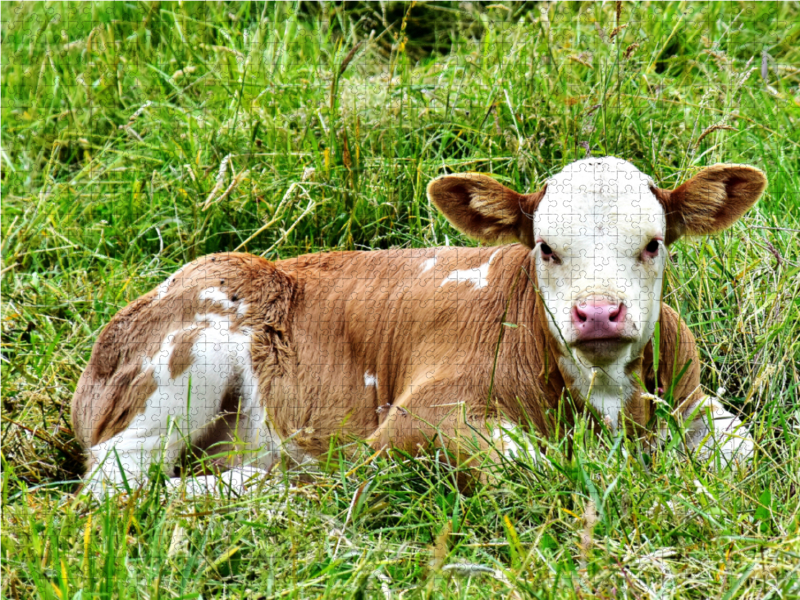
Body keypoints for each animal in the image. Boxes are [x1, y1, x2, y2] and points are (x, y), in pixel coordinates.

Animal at [75, 156, 768, 496]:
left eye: (653, 244)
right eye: (546, 249)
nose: (598, 313)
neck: (603, 401)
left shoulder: (691, 392)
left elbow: (743, 453)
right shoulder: (417, 418)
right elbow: (530, 462)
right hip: (183, 360)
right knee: (118, 486)